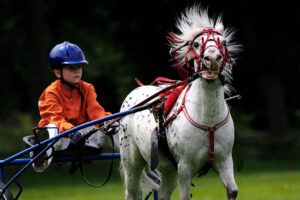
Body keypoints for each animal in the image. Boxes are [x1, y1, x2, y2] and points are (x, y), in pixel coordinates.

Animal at [119, 5, 239, 200]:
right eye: (196, 44)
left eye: (224, 42)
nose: (213, 58)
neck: (209, 119)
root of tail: (134, 93)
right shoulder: (184, 167)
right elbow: (185, 196)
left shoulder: (224, 160)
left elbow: (232, 190)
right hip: (132, 164)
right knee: (131, 192)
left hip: (169, 172)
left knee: (163, 194)